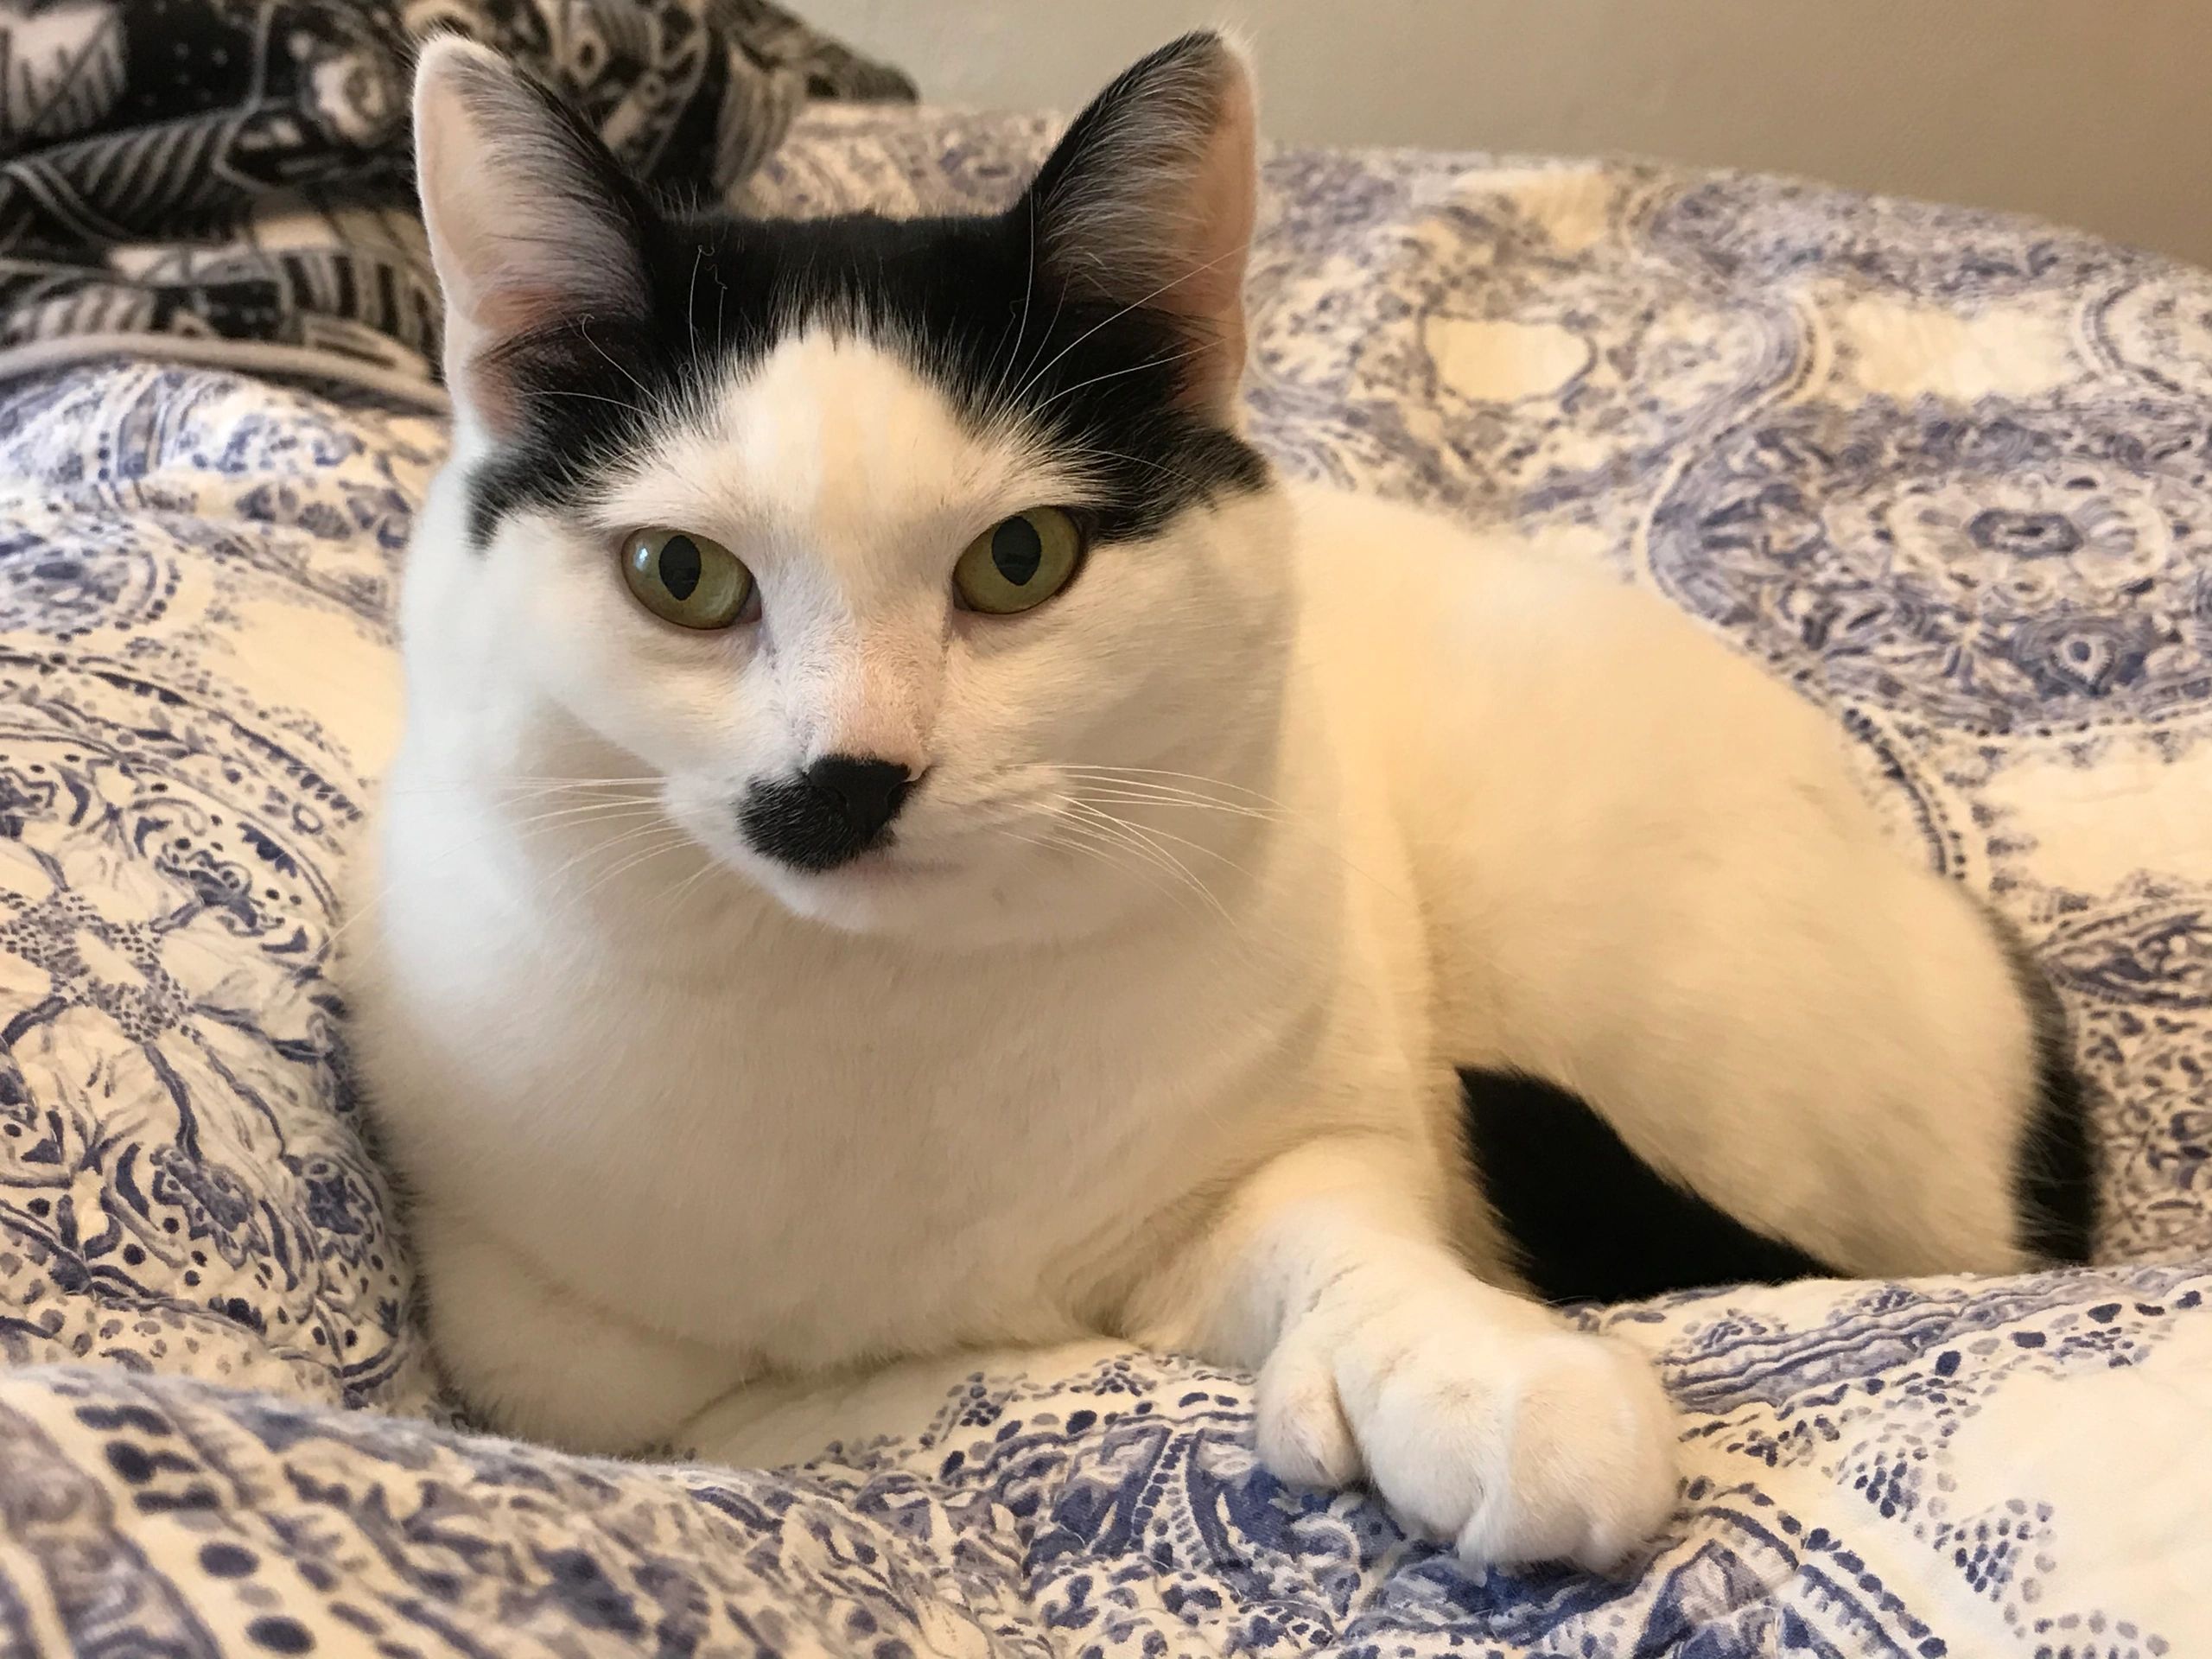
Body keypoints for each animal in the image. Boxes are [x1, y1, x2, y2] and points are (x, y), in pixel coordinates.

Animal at [345, 32, 2088, 1574]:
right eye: (681, 575)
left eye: (1020, 560)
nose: (850, 777)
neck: (885, 1008)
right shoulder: (551, 1346)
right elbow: (838, 1404)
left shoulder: (1313, 1129)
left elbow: (1342, 1235)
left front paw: (1482, 1375)